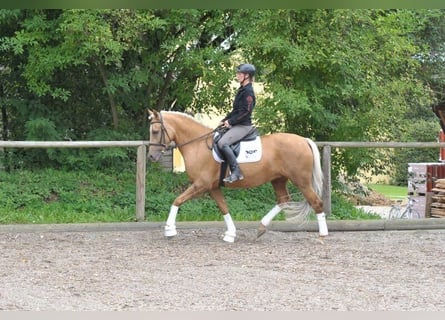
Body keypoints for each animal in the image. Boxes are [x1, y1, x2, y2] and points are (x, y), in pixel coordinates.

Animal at [147, 110, 328, 242]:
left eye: (155, 131)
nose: (151, 157)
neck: (197, 144)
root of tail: (303, 140)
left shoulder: (201, 184)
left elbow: (177, 200)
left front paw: (169, 230)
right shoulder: (212, 187)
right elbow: (223, 208)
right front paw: (230, 234)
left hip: (302, 181)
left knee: (316, 202)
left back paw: (322, 235)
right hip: (278, 179)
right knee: (283, 200)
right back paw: (261, 228)